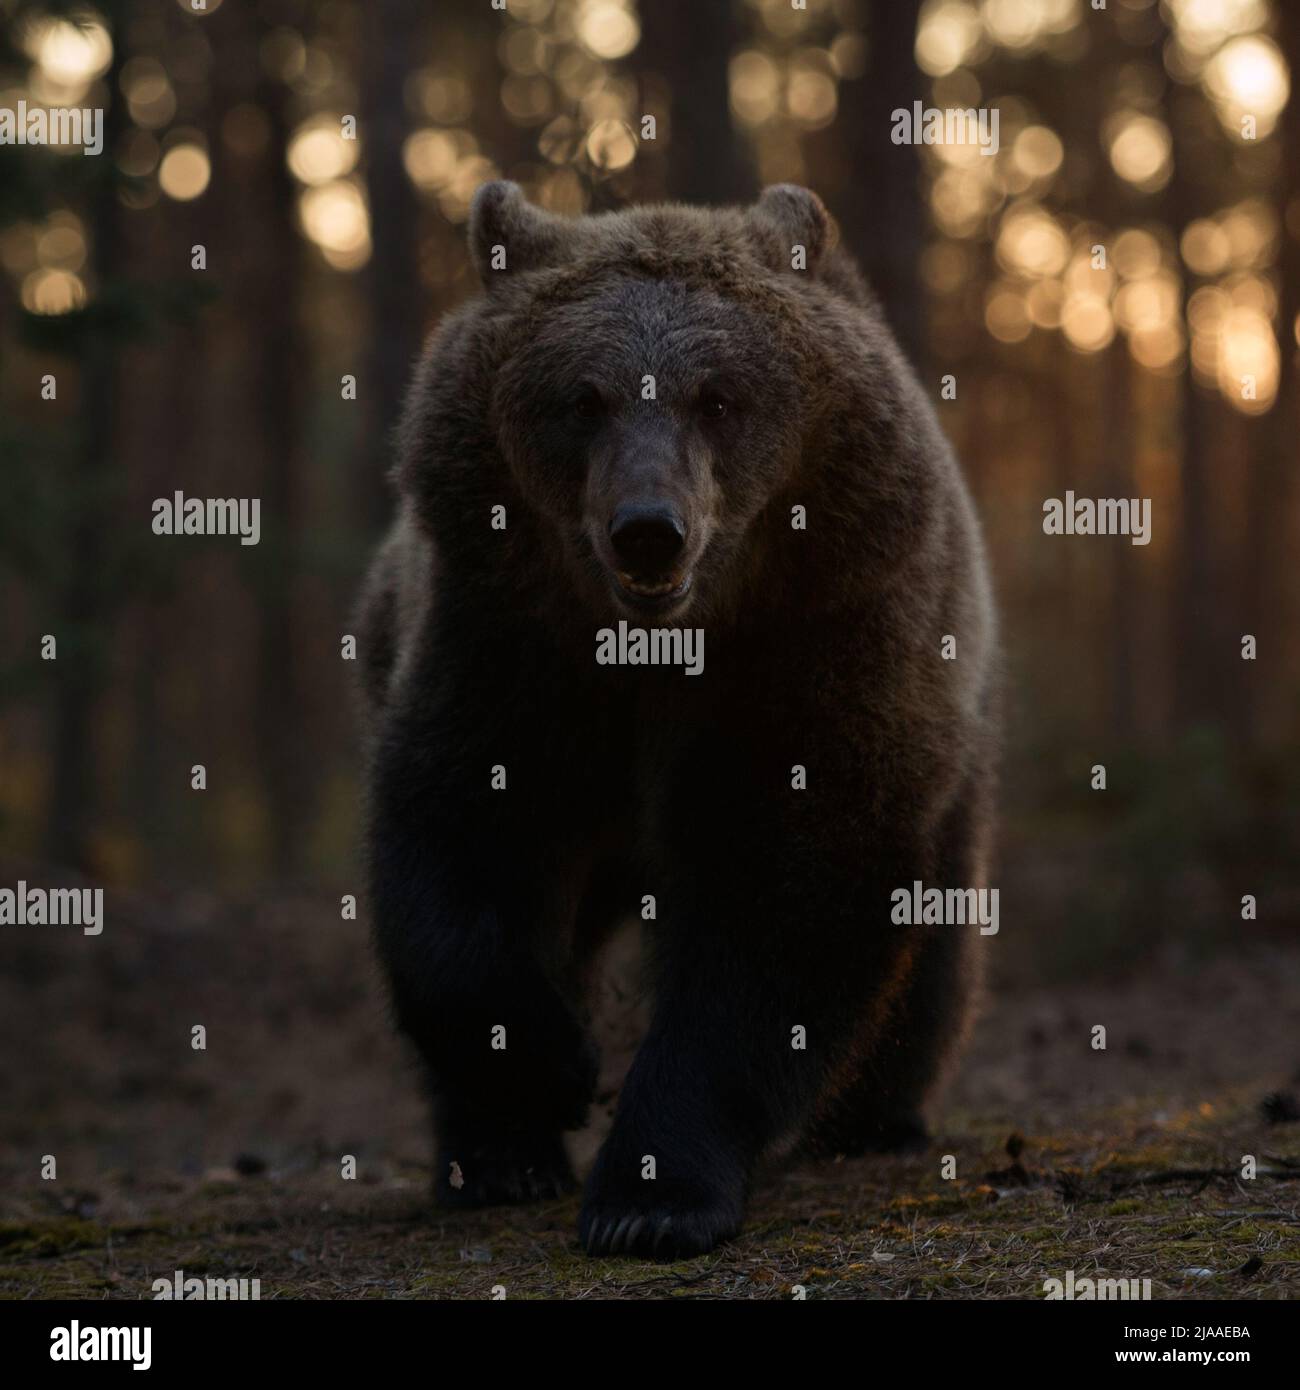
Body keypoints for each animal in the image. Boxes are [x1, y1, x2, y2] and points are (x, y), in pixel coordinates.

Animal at [355, 182, 995, 1262]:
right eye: (584, 397)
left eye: (719, 397)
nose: (648, 530)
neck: (659, 652)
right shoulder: (505, 642)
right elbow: (458, 847)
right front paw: (551, 1067)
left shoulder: (822, 643)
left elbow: (781, 892)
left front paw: (652, 1191)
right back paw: (490, 1159)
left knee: (935, 945)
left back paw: (876, 1117)